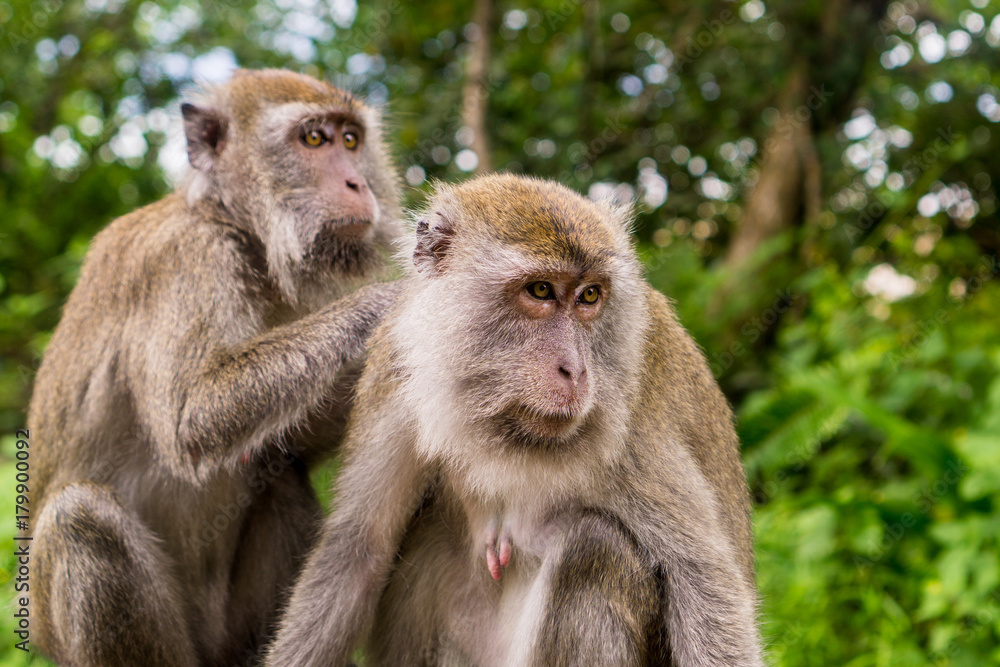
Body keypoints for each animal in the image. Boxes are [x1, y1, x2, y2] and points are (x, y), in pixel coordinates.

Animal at [27, 69, 402, 667]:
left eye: (351, 140)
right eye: (313, 139)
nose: (357, 184)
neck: (233, 223)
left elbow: (290, 441)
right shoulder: (188, 258)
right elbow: (192, 416)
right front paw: (393, 298)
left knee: (283, 474)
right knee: (80, 518)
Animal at [266, 174, 764, 667]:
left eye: (589, 295)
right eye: (540, 290)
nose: (576, 371)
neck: (501, 419)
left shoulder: (630, 416)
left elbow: (703, 582)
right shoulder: (396, 372)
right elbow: (357, 554)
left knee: (595, 544)